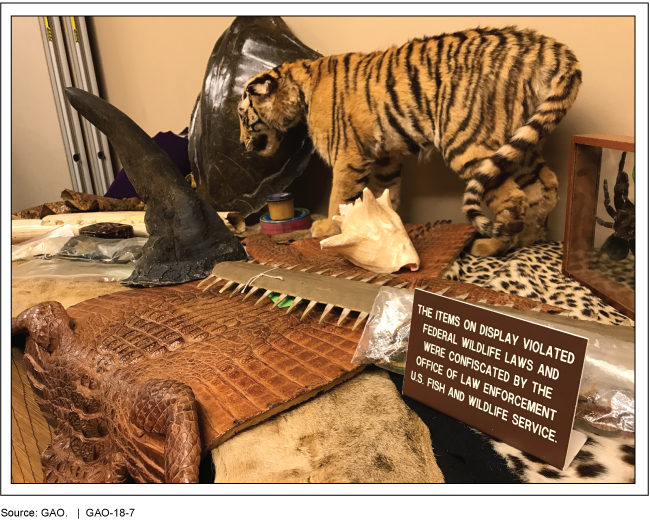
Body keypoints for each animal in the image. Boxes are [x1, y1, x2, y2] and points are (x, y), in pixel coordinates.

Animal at [235, 26, 580, 258]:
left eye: (242, 115)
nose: (240, 144)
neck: (301, 87)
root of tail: (541, 45)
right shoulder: (386, 156)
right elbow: (383, 193)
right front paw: (383, 223)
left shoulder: (347, 156)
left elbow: (339, 198)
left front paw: (330, 227)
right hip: (519, 144)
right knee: (545, 186)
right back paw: (529, 237)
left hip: (467, 142)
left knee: (513, 197)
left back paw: (491, 245)